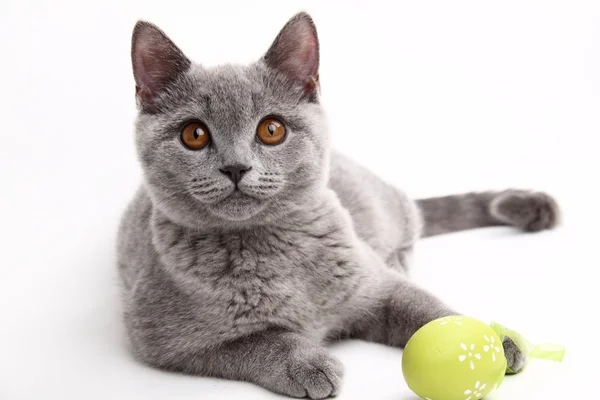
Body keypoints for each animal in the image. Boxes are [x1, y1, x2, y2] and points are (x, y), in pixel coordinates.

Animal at [116, 12, 556, 400]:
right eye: (194, 134)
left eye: (271, 129)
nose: (236, 167)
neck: (270, 249)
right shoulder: (165, 340)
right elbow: (260, 340)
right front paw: (308, 363)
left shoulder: (375, 286)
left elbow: (428, 305)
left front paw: (495, 339)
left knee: (412, 219)